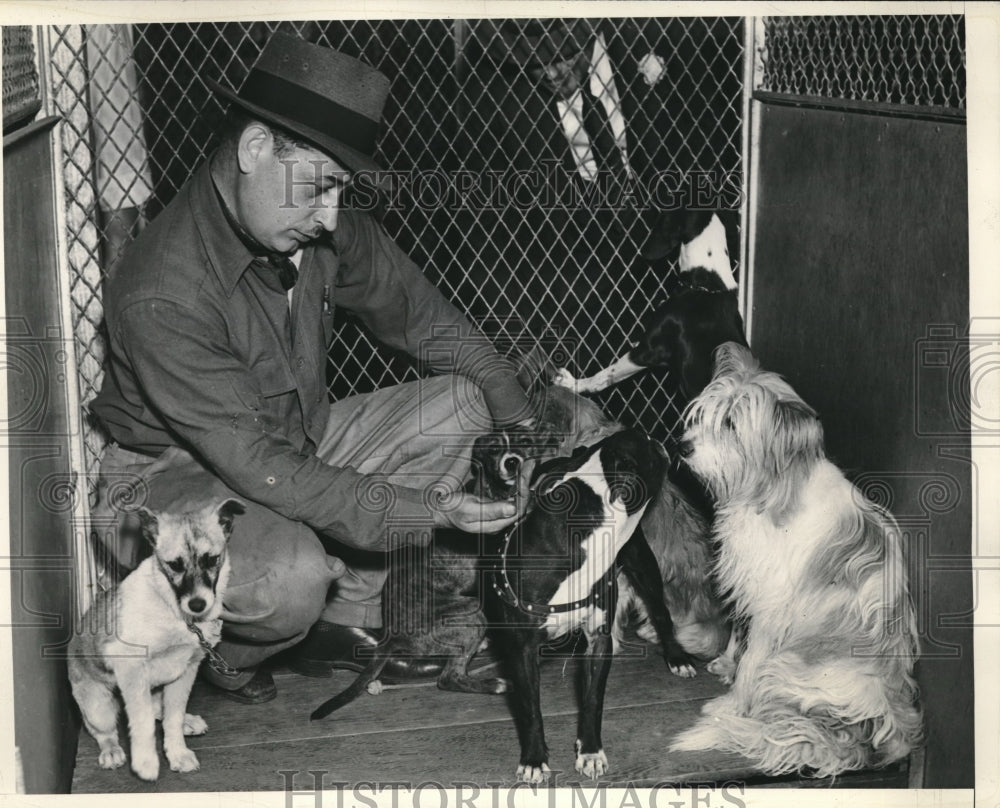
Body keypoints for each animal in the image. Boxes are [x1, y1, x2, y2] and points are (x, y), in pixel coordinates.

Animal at [68, 498, 244, 784]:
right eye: (174, 565)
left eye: (212, 560)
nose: (198, 605)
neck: (175, 612)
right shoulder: (131, 667)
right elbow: (142, 721)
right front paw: (146, 761)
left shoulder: (185, 672)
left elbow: (172, 717)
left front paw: (178, 752)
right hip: (97, 707)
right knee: (105, 732)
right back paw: (112, 752)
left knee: (159, 710)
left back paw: (187, 721)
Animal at [668, 344, 924, 780]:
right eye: (707, 414)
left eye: (731, 424)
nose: (682, 448)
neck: (772, 488)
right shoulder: (749, 588)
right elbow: (738, 637)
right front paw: (726, 663)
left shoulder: (772, 609)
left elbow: (752, 659)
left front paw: (731, 703)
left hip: (789, 667)